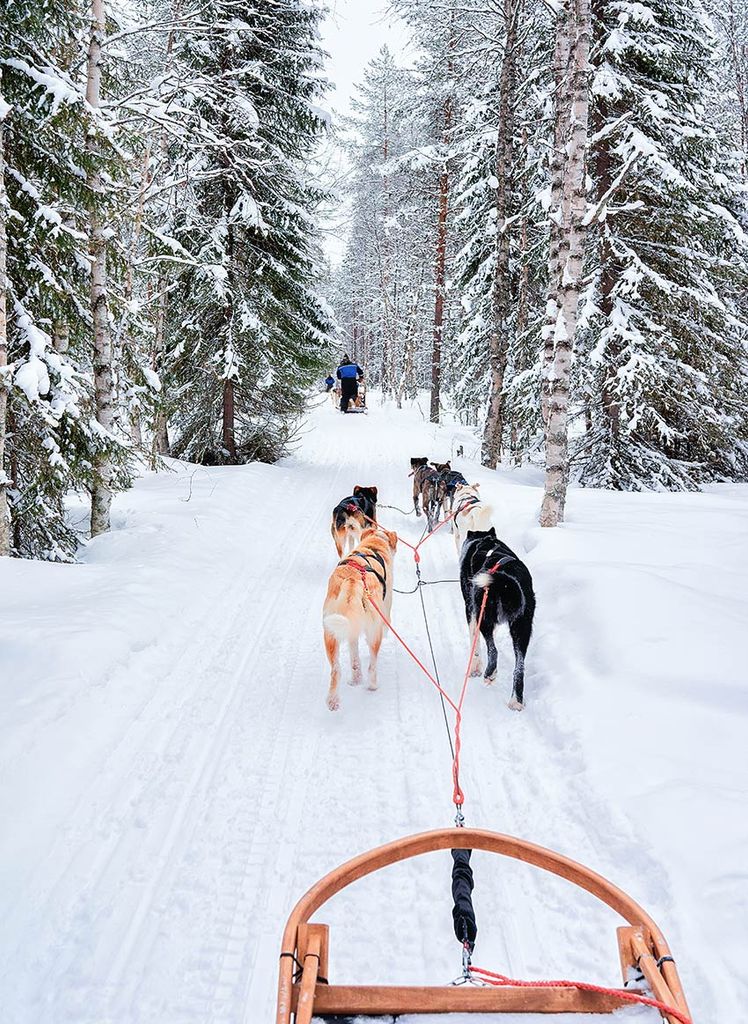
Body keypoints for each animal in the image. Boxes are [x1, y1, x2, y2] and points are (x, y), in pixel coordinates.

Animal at [323, 528, 399, 712]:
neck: (373, 546)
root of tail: (353, 580)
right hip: (374, 632)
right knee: (372, 664)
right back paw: (372, 685)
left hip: (330, 632)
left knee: (336, 669)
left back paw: (335, 698)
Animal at [456, 528, 532, 712]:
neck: (484, 539)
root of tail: (507, 579)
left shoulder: (471, 609)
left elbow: (475, 642)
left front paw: (474, 668)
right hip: (522, 628)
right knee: (519, 666)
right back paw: (516, 701)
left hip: (484, 616)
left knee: (493, 650)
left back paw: (489, 674)